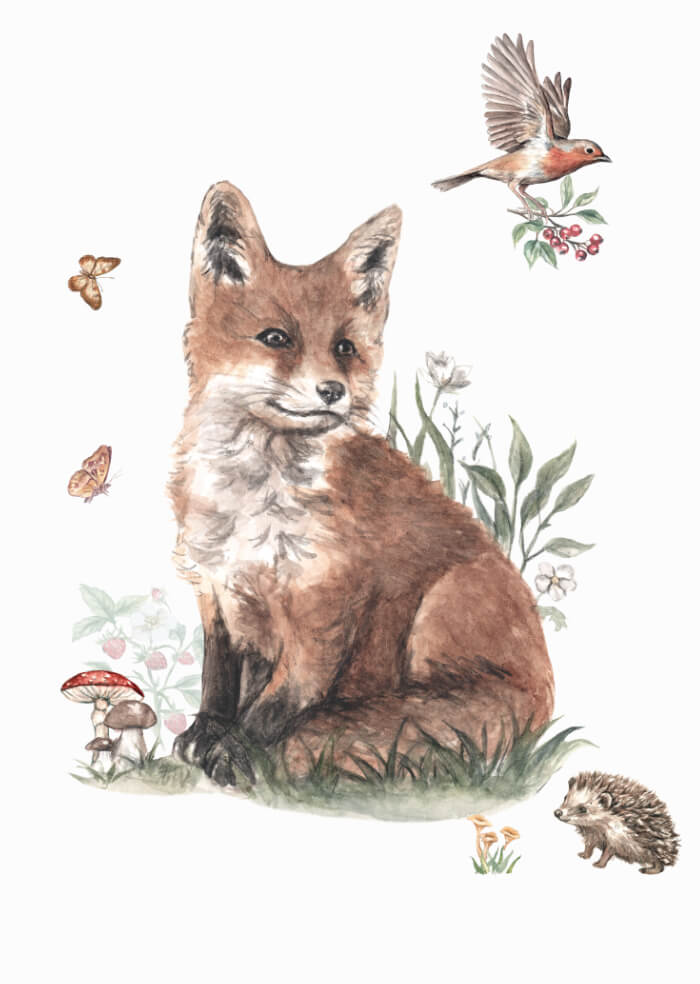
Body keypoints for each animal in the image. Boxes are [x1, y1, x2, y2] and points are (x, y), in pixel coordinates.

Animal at [169, 181, 554, 787]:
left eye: (345, 348)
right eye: (276, 338)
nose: (333, 392)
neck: (254, 502)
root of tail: (543, 694)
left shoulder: (325, 609)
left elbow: (278, 704)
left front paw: (236, 750)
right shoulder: (218, 590)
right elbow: (217, 682)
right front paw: (206, 735)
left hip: (444, 604)